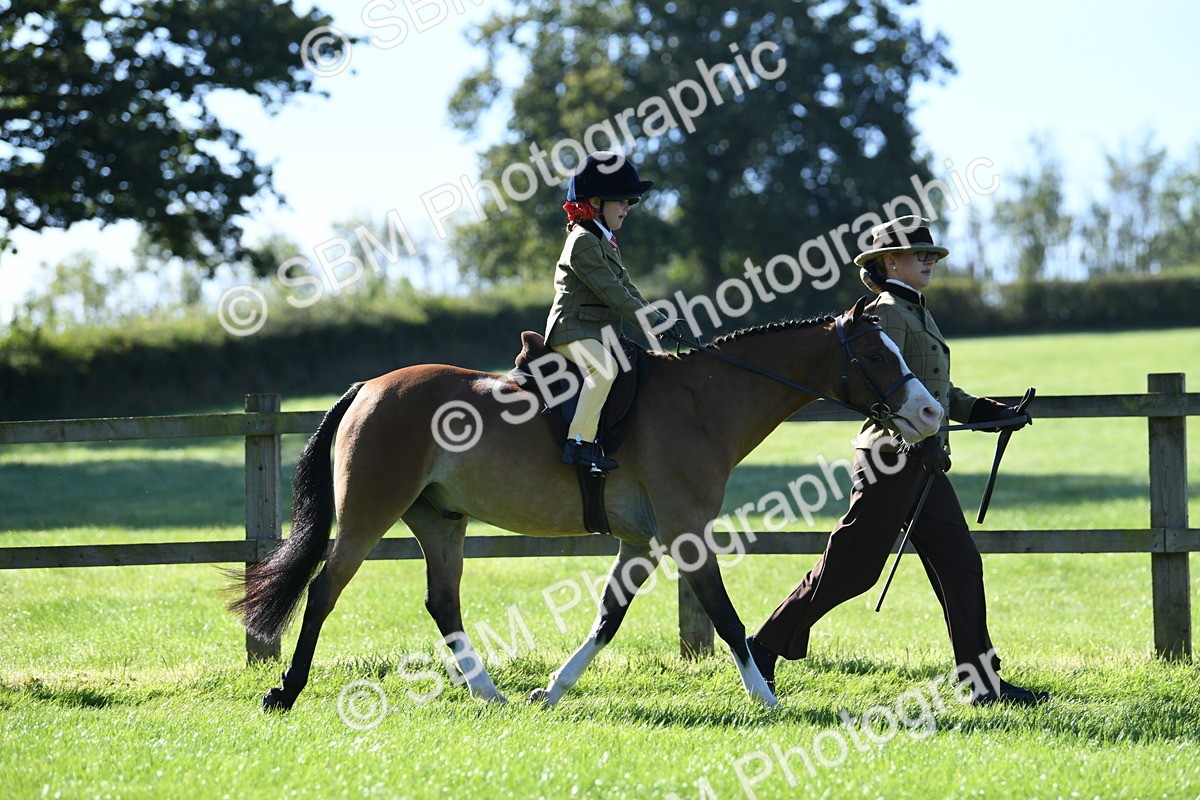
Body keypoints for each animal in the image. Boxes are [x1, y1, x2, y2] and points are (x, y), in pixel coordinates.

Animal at [228, 296, 942, 711]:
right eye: (877, 352)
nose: (933, 413)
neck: (703, 402)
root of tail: (370, 387)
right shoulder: (686, 532)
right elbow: (725, 615)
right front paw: (766, 699)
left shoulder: (643, 542)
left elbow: (609, 616)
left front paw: (553, 689)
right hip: (368, 515)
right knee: (324, 590)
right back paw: (286, 691)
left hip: (440, 521)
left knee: (441, 602)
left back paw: (489, 692)